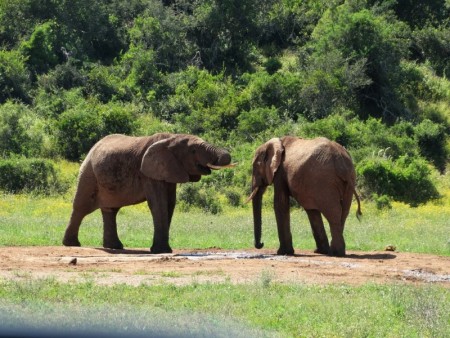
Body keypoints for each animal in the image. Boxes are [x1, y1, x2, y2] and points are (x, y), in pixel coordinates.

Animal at [62, 132, 236, 254]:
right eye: (193, 150)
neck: (171, 138)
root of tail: (93, 147)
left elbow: (169, 204)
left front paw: (161, 250)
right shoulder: (148, 173)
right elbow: (158, 204)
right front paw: (162, 251)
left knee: (110, 210)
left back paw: (115, 247)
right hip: (88, 172)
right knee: (81, 208)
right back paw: (71, 244)